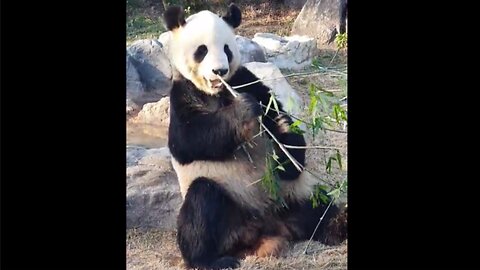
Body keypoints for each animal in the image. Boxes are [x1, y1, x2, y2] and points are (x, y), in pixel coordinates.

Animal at [163, 4, 346, 270]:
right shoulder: (182, 93)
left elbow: (283, 130)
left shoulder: (246, 80)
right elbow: (187, 140)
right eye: (202, 50)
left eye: (227, 49)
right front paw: (243, 111)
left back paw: (338, 224)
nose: (219, 71)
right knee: (202, 203)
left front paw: (284, 136)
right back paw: (210, 260)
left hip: (293, 195)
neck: (219, 92)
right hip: (230, 205)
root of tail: (267, 229)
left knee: (319, 208)